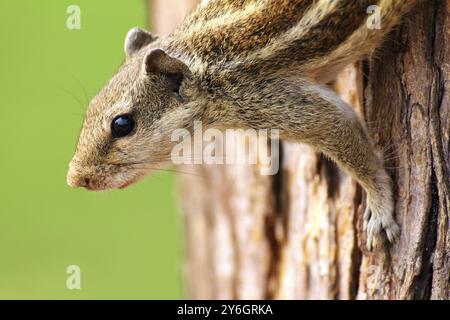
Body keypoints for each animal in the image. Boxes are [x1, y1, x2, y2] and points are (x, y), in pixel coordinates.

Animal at [66, 0, 418, 250]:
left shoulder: (276, 102)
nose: (74, 178)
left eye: (122, 124)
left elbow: (346, 136)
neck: (205, 64)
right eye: (91, 107)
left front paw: (380, 211)